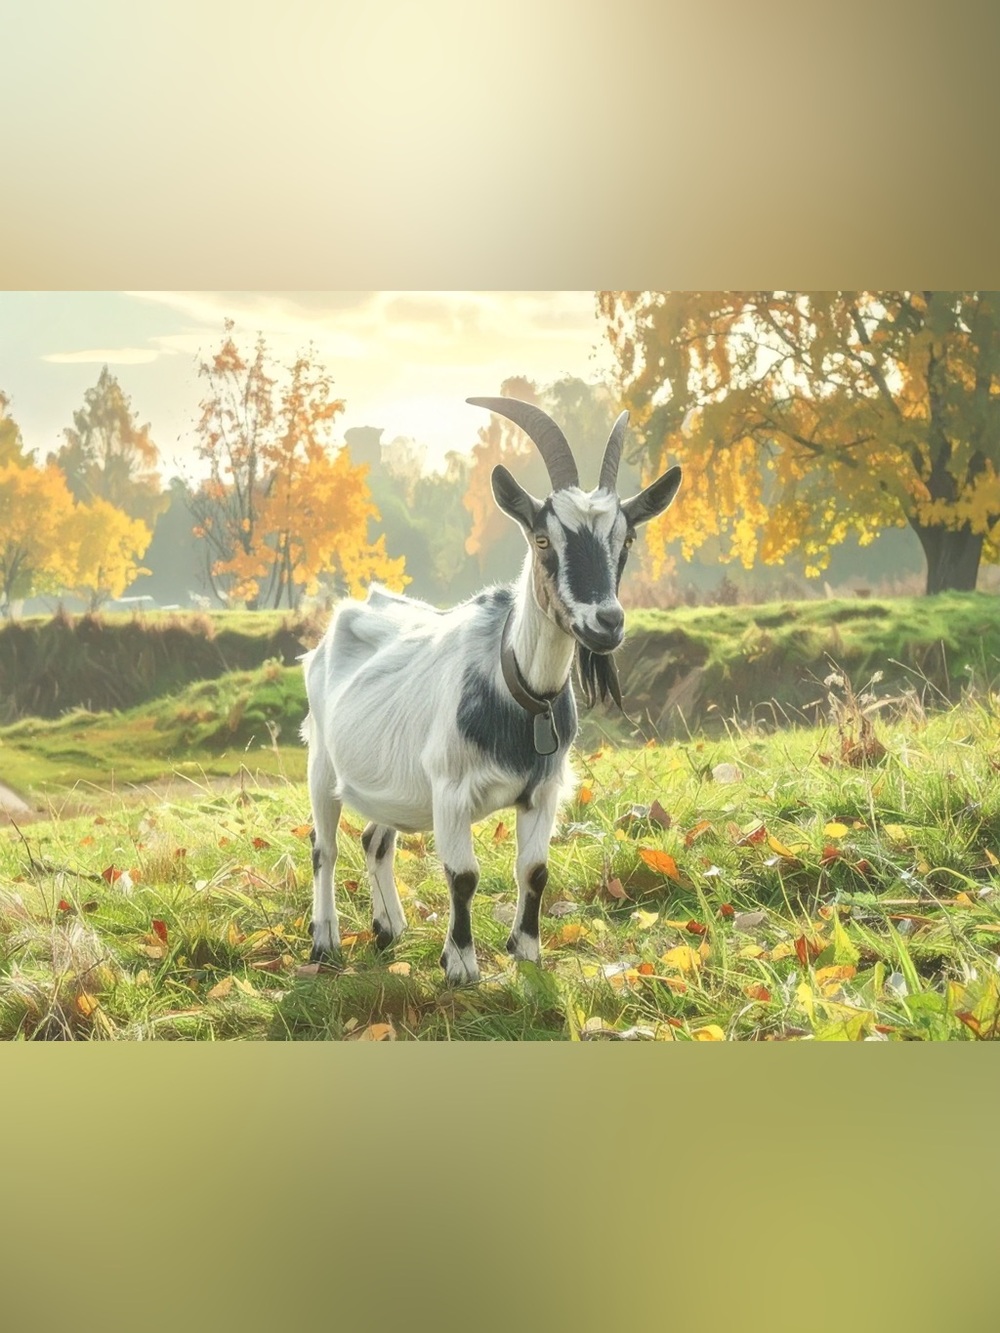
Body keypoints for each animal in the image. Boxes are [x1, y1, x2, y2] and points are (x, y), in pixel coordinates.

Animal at [301, 397, 682, 983]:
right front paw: (460, 965)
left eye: (627, 539)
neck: (521, 692)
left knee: (375, 840)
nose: (607, 622)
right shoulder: (451, 790)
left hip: (393, 778)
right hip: (322, 762)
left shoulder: (543, 791)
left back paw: (389, 928)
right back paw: (325, 941)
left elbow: (536, 869)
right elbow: (462, 876)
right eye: (544, 539)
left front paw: (526, 952)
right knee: (324, 848)